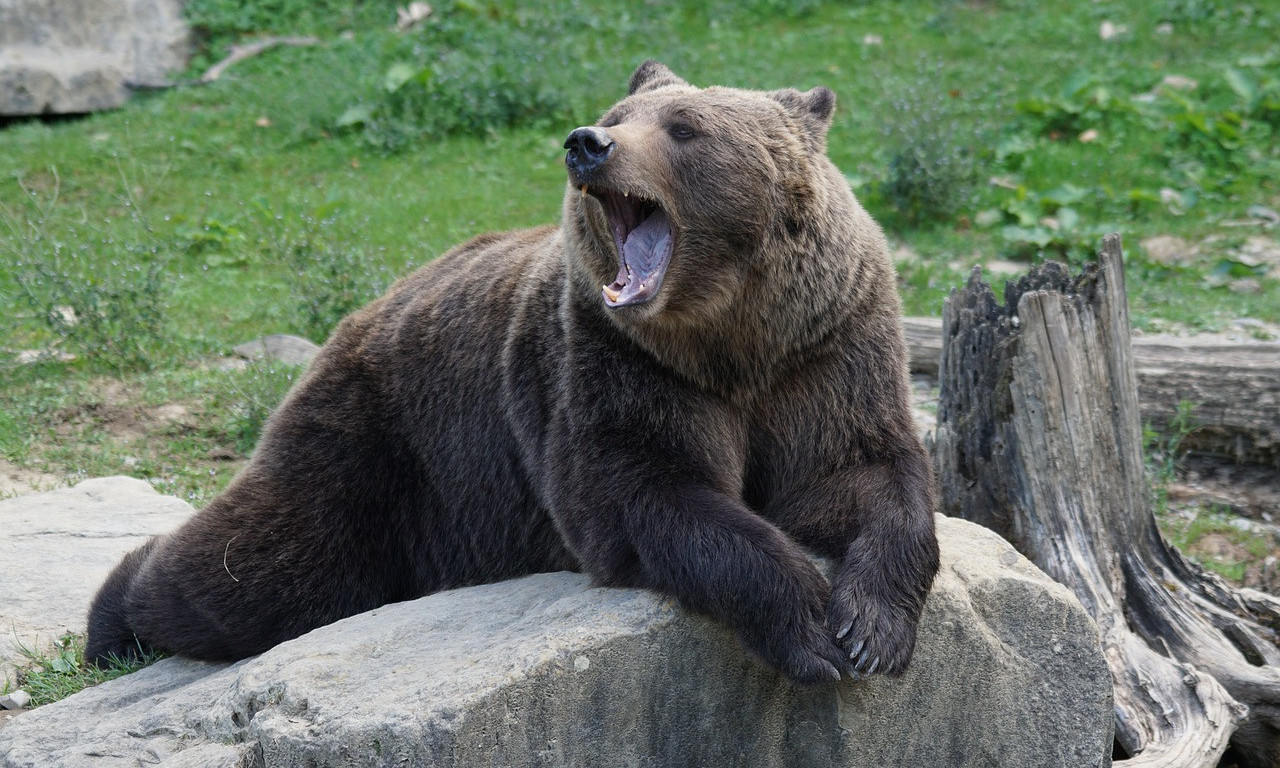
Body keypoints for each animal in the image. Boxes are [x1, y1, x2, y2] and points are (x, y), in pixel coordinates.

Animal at [82, 60, 942, 686]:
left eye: (685, 127)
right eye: (620, 116)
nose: (587, 142)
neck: (728, 337)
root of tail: (363, 312)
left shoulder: (825, 348)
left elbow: (862, 473)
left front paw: (870, 630)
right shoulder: (615, 364)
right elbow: (649, 493)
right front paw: (808, 628)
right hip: (385, 447)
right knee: (263, 570)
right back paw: (113, 618)